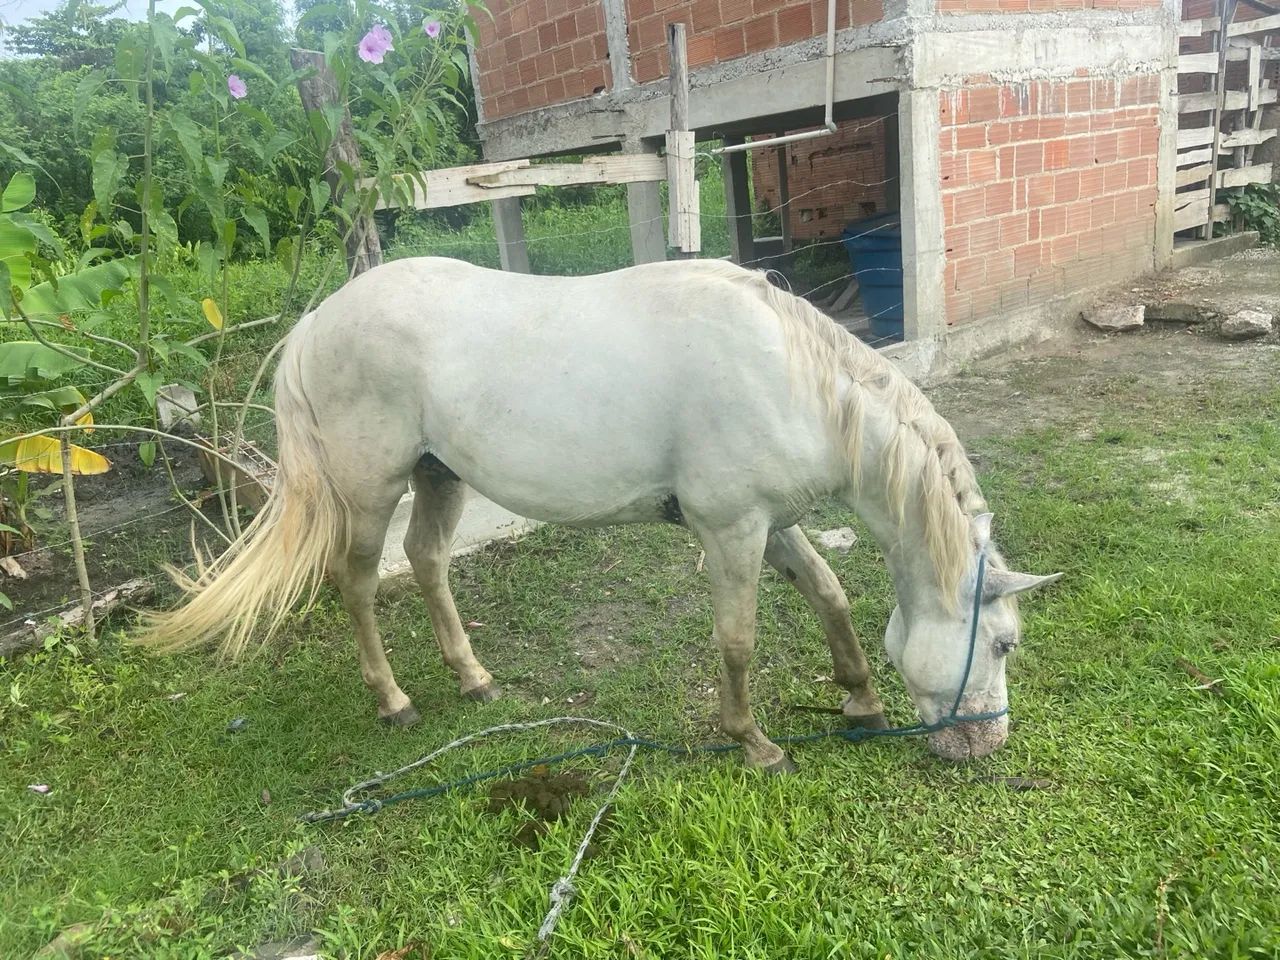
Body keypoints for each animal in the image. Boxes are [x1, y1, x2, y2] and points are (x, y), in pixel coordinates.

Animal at [140, 256, 1059, 769]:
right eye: (1003, 643)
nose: (989, 743)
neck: (792, 378)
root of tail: (315, 322)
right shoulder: (731, 530)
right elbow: (738, 640)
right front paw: (753, 743)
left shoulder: (771, 522)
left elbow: (829, 594)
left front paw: (859, 701)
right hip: (371, 493)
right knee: (359, 585)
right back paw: (394, 700)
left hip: (440, 477)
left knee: (430, 561)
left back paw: (473, 678)